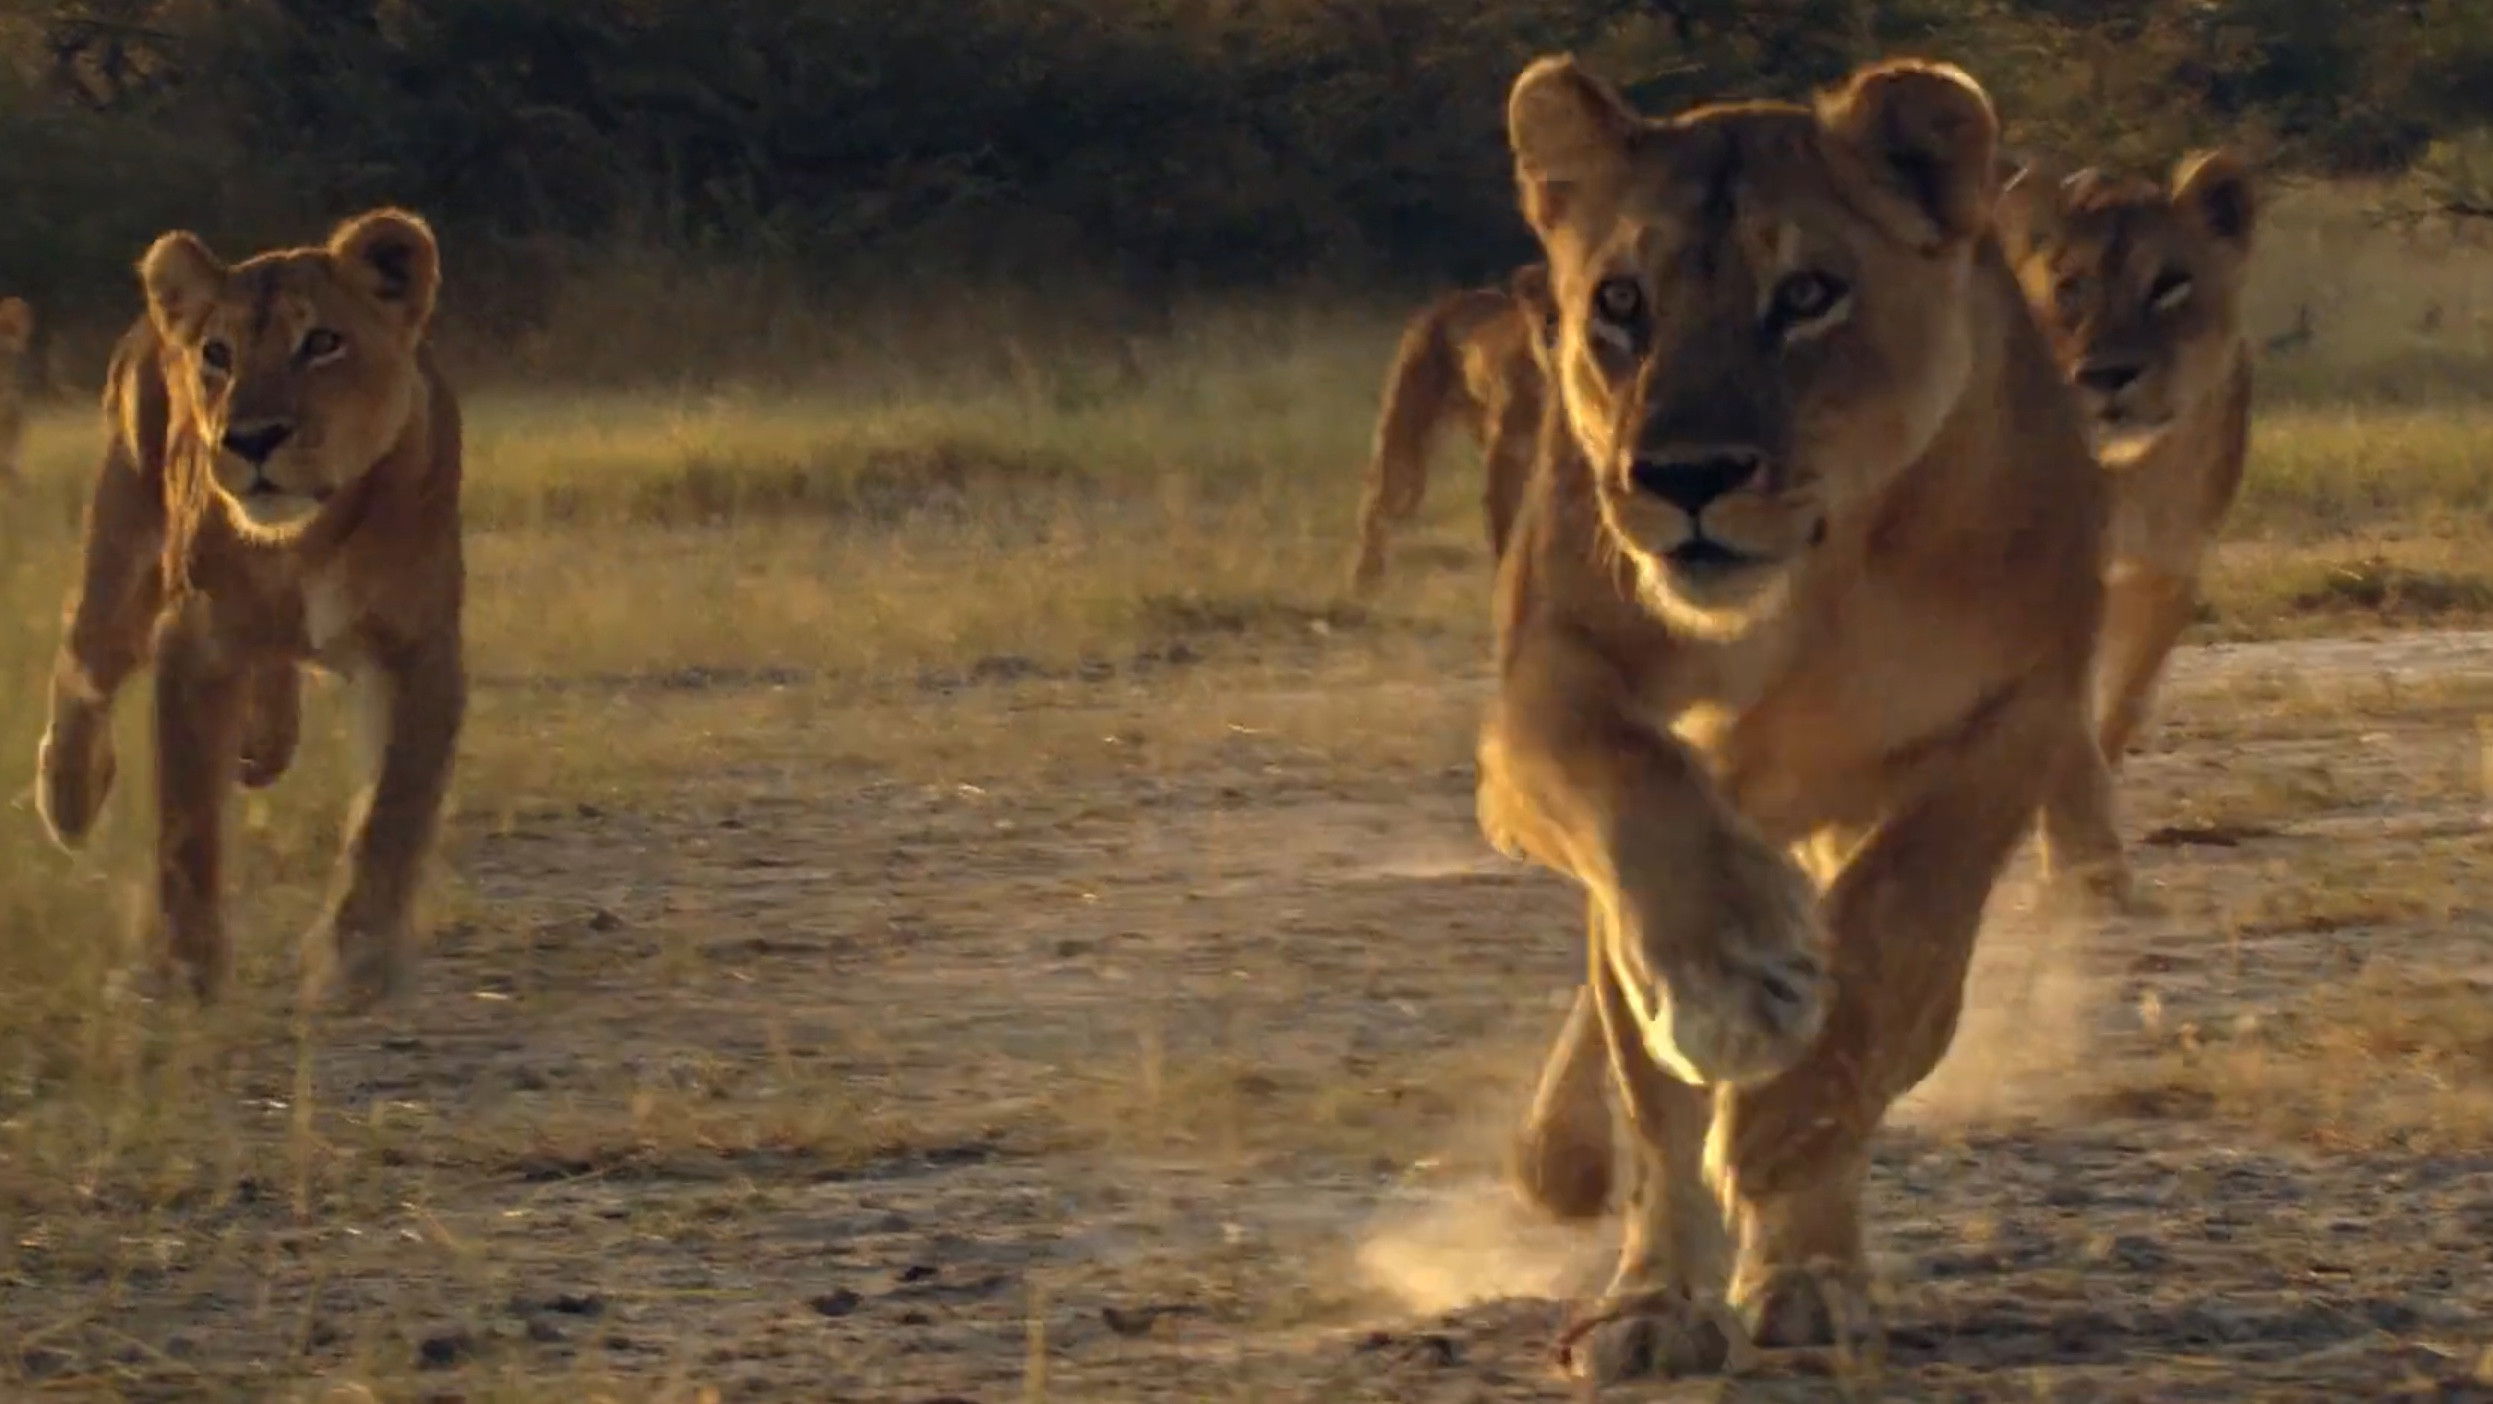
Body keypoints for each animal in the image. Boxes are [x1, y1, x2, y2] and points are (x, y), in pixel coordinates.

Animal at [34, 209, 465, 1008]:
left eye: (322, 342)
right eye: (218, 354)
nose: (252, 438)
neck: (307, 537)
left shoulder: (419, 650)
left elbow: (394, 809)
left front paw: (357, 959)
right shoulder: (196, 639)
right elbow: (187, 822)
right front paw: (185, 967)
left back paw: (259, 745)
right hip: (123, 536)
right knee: (84, 664)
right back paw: (70, 799)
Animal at [1345, 263, 1557, 593]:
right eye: (1549, 314)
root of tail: (1443, 304)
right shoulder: (1506, 455)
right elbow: (1504, 530)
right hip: (1404, 438)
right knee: (1377, 505)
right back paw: (1364, 579)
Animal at [1477, 56, 2117, 1380]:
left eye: (1809, 294)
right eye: (1621, 301)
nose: (1684, 477)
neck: (1815, 581)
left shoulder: (2021, 714)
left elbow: (1896, 934)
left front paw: (1782, 1124)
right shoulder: (1537, 705)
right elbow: (1639, 799)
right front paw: (1733, 984)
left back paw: (1807, 1273)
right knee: (1640, 1066)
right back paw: (1641, 1285)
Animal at [1999, 153, 2255, 873]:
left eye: (2170, 285)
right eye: (2070, 288)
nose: (2108, 375)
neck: (2129, 474)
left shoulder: (2164, 573)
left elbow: (2116, 707)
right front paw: (2079, 857)